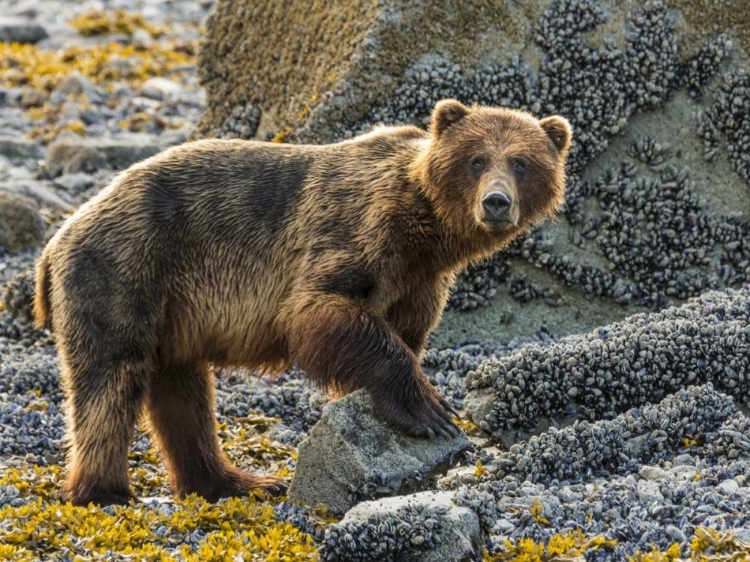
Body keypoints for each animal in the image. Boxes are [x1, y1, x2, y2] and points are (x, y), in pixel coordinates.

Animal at [32, 98, 572, 506]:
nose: (496, 202)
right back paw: (103, 490)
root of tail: (55, 240)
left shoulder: (420, 283)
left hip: (173, 311)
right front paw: (429, 410)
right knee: (112, 380)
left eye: (521, 163)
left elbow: (405, 331)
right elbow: (321, 310)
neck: (428, 234)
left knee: (183, 394)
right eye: (476, 160)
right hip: (125, 270)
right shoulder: (356, 231)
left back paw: (233, 481)